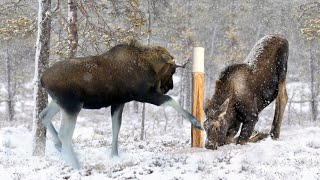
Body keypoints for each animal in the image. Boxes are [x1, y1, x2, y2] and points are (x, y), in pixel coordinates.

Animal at [39, 40, 202, 168]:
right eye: (172, 70)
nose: (169, 86)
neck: (149, 65)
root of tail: (42, 79)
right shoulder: (144, 95)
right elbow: (171, 100)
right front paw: (197, 123)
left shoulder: (119, 102)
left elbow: (116, 128)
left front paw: (114, 155)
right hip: (72, 106)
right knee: (64, 134)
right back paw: (76, 164)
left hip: (58, 103)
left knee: (43, 116)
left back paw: (59, 147)